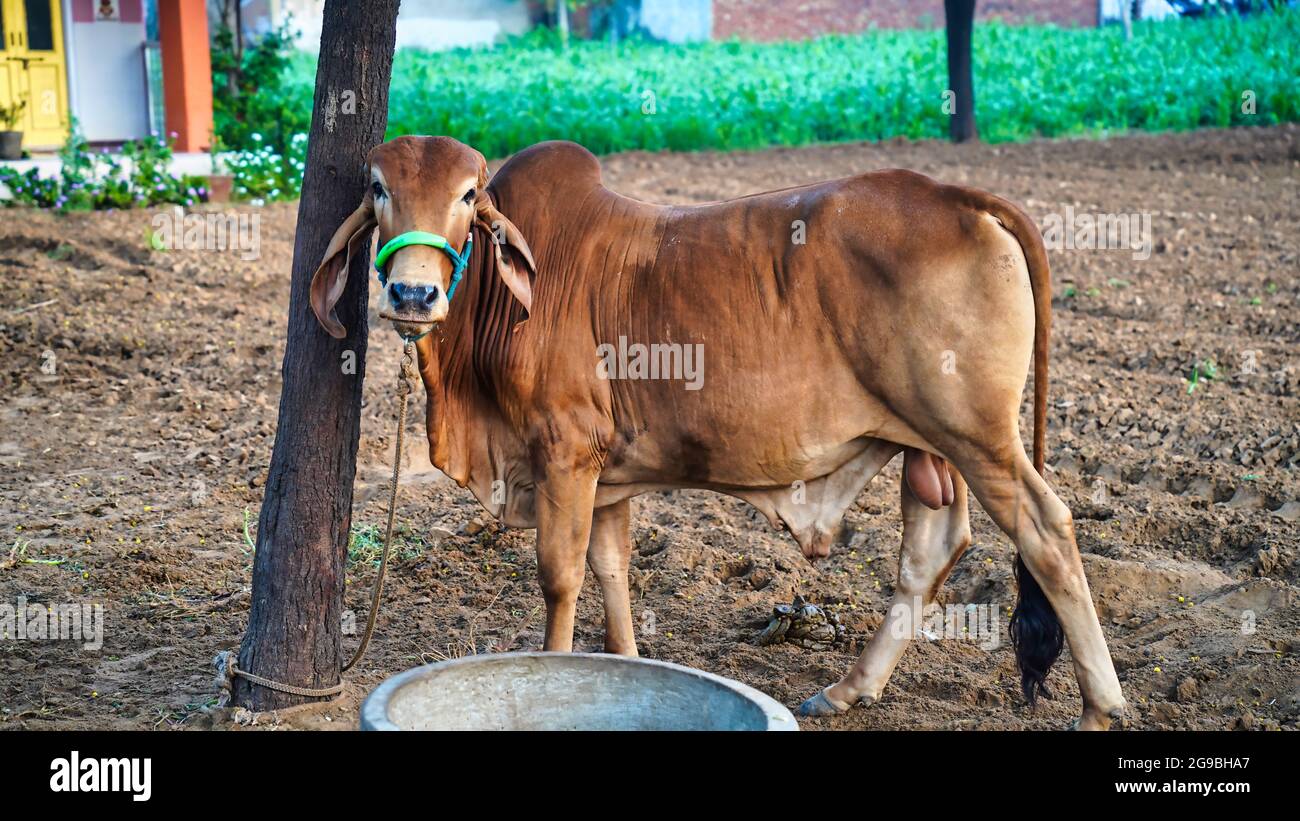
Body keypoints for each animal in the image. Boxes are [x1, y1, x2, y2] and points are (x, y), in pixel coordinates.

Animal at [309, 136, 1123, 732]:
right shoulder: (607, 474)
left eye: (468, 195)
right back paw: (848, 688)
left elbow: (561, 576)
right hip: (931, 443)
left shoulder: (565, 452)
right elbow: (612, 570)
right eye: (378, 188)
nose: (413, 293)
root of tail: (963, 197)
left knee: (1049, 533)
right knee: (932, 546)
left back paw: (1100, 708)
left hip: (979, 436)